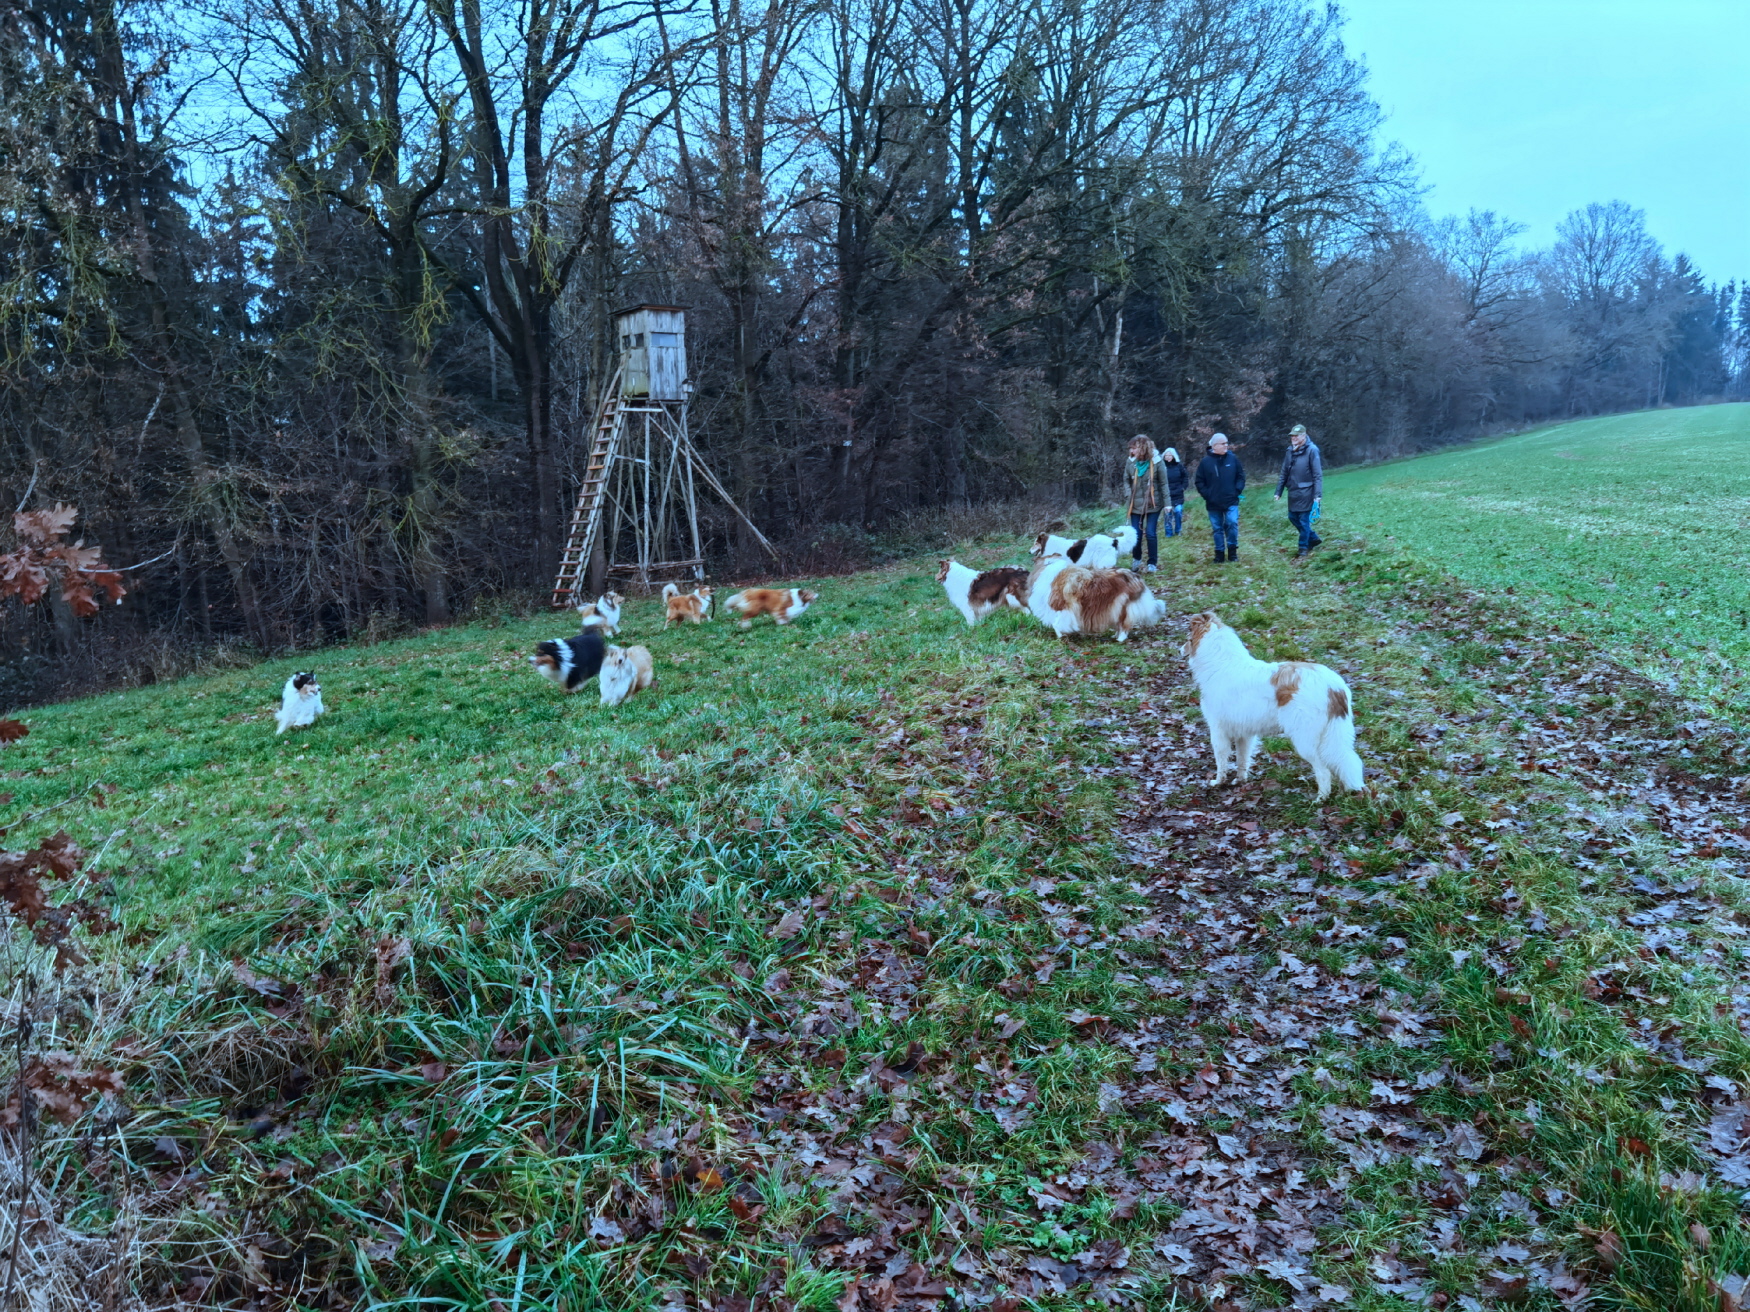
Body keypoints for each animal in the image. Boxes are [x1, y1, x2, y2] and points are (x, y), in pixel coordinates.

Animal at [1182, 610, 1364, 800]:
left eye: (1188, 638)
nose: (1180, 650)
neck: (1221, 663)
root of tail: (1334, 687)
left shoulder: (1218, 729)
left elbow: (1221, 760)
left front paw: (1218, 782)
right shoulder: (1244, 733)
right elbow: (1242, 759)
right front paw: (1240, 781)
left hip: (1305, 739)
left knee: (1323, 770)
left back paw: (1320, 799)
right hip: (1334, 735)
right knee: (1345, 761)